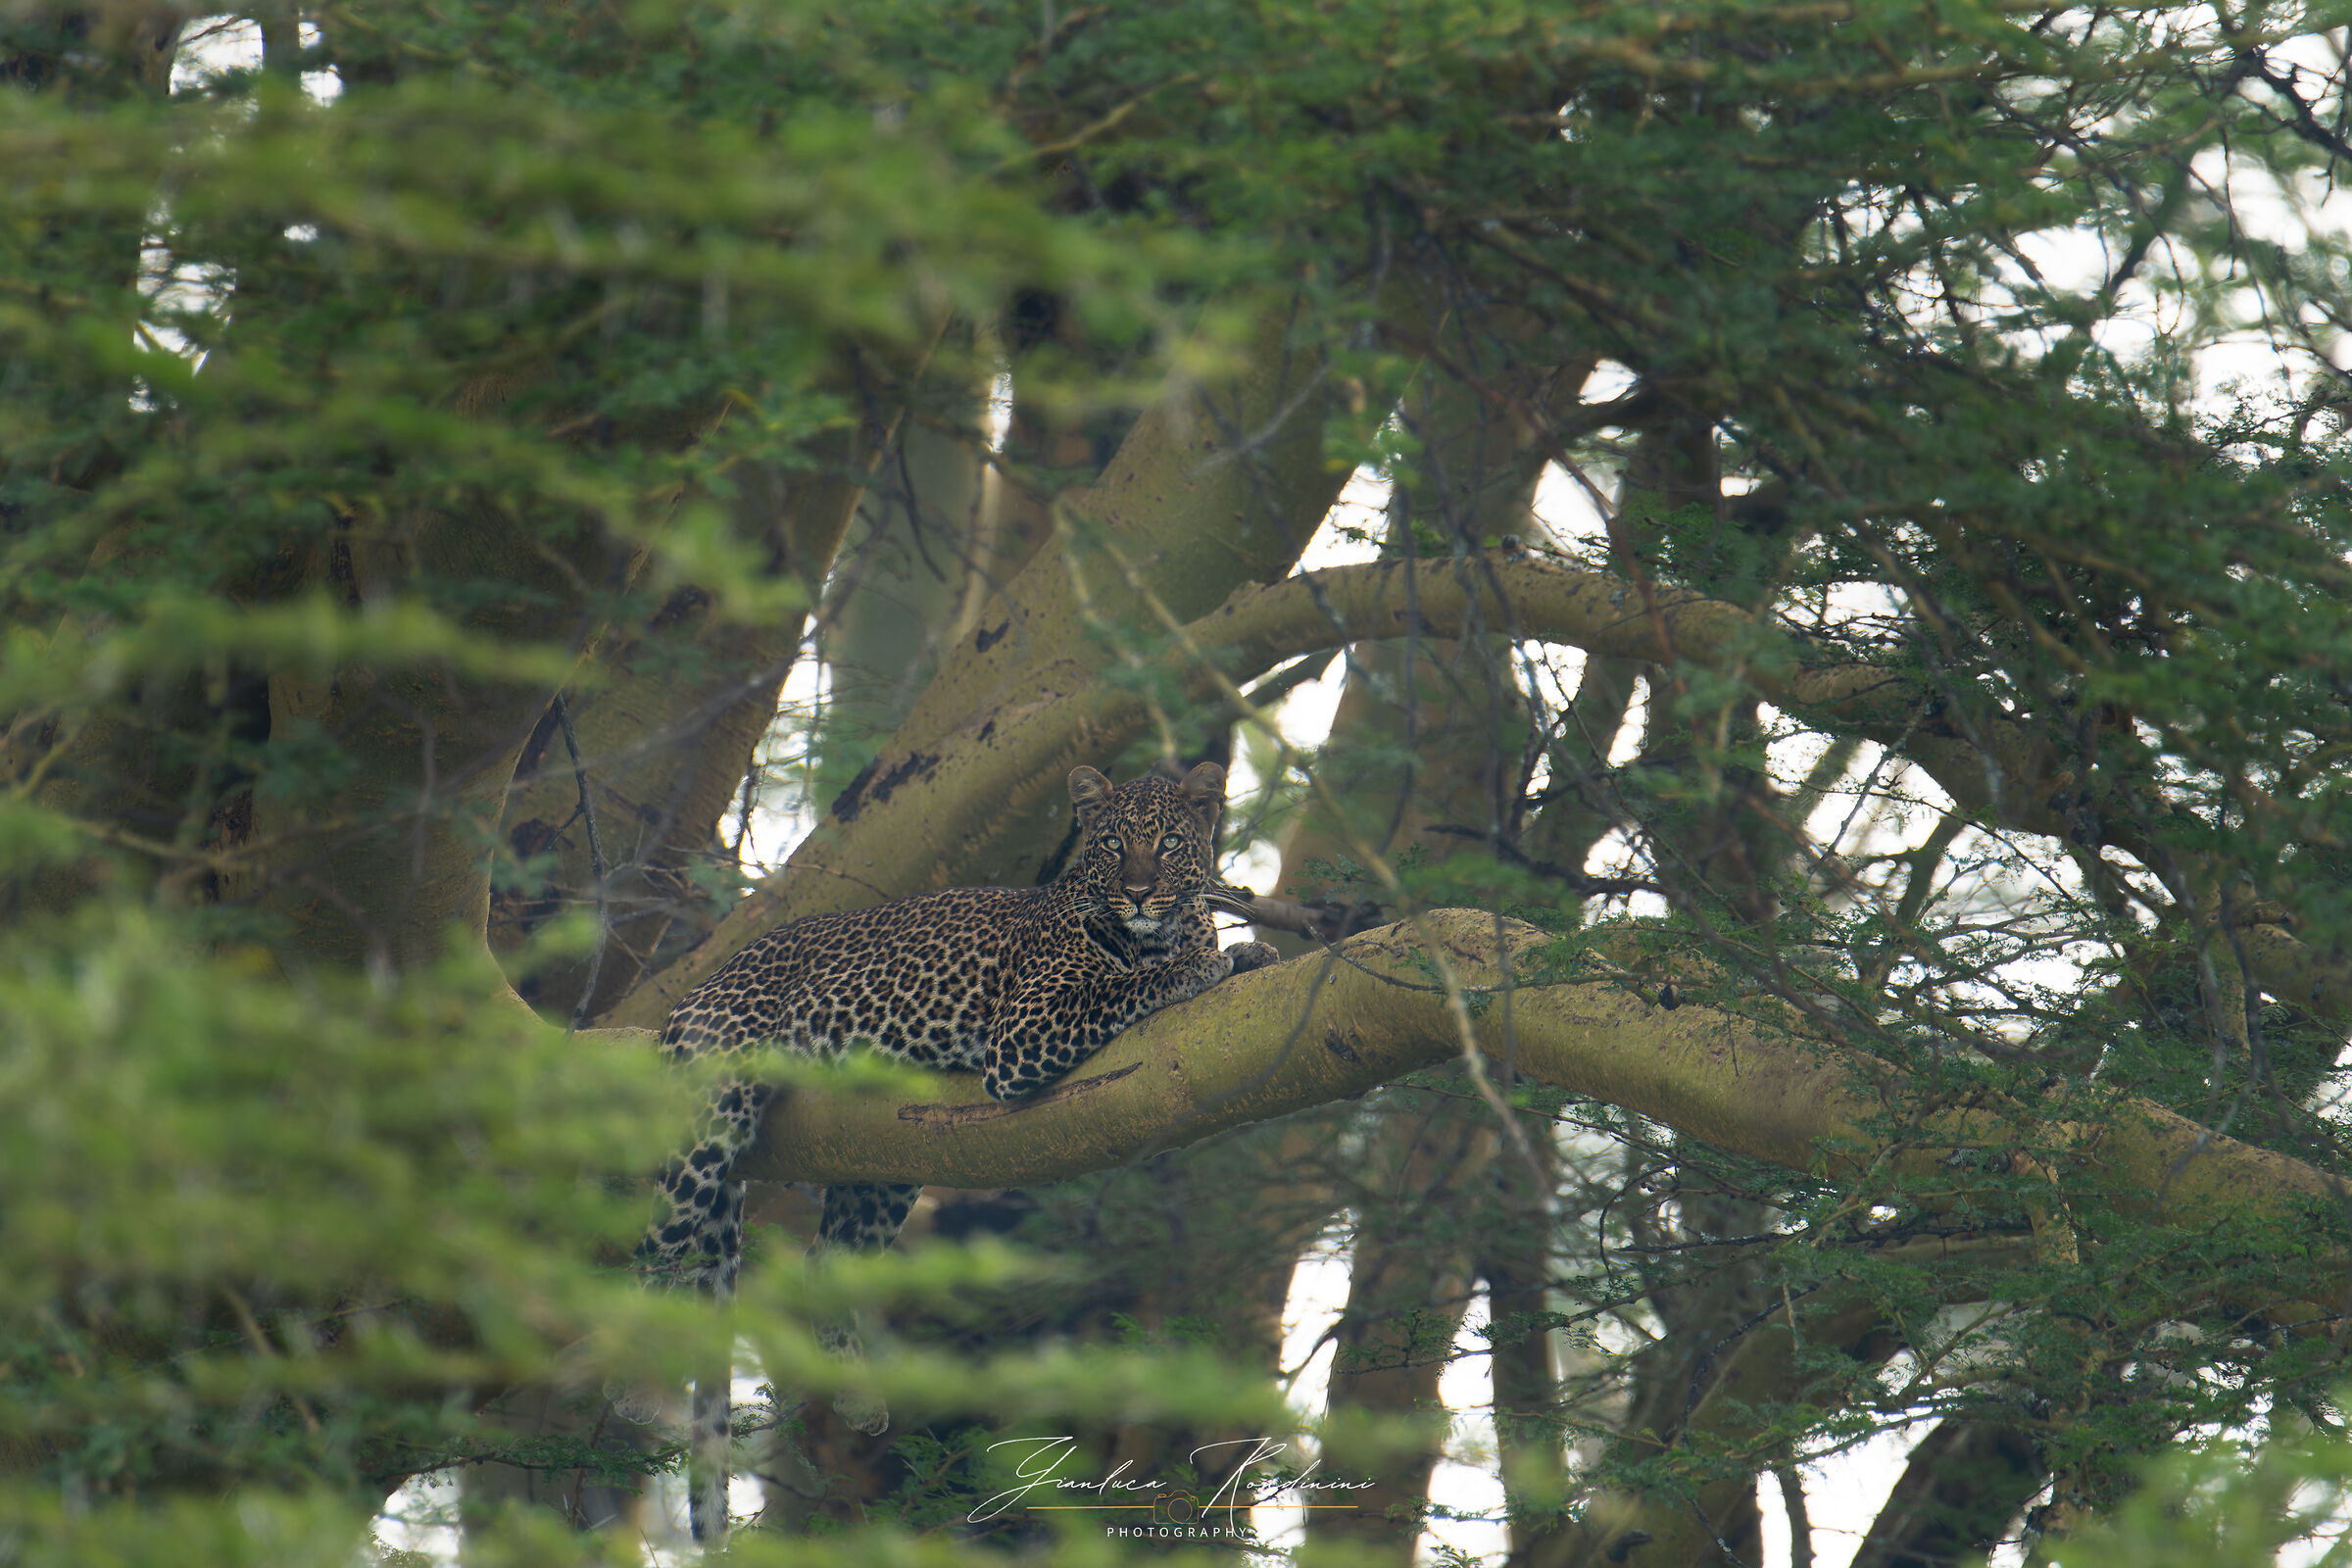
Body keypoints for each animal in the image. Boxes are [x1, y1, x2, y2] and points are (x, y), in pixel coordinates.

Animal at [637, 760, 1277, 1537]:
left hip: (879, 1156)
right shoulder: (1025, 1032)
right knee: (649, 1254)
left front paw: (1250, 952)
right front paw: (1199, 970)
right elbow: (1129, 984)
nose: (1137, 891)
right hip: (709, 1120)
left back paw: (856, 1397)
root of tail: (699, 988)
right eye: (1112, 844)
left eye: (1171, 843)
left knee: (826, 1260)